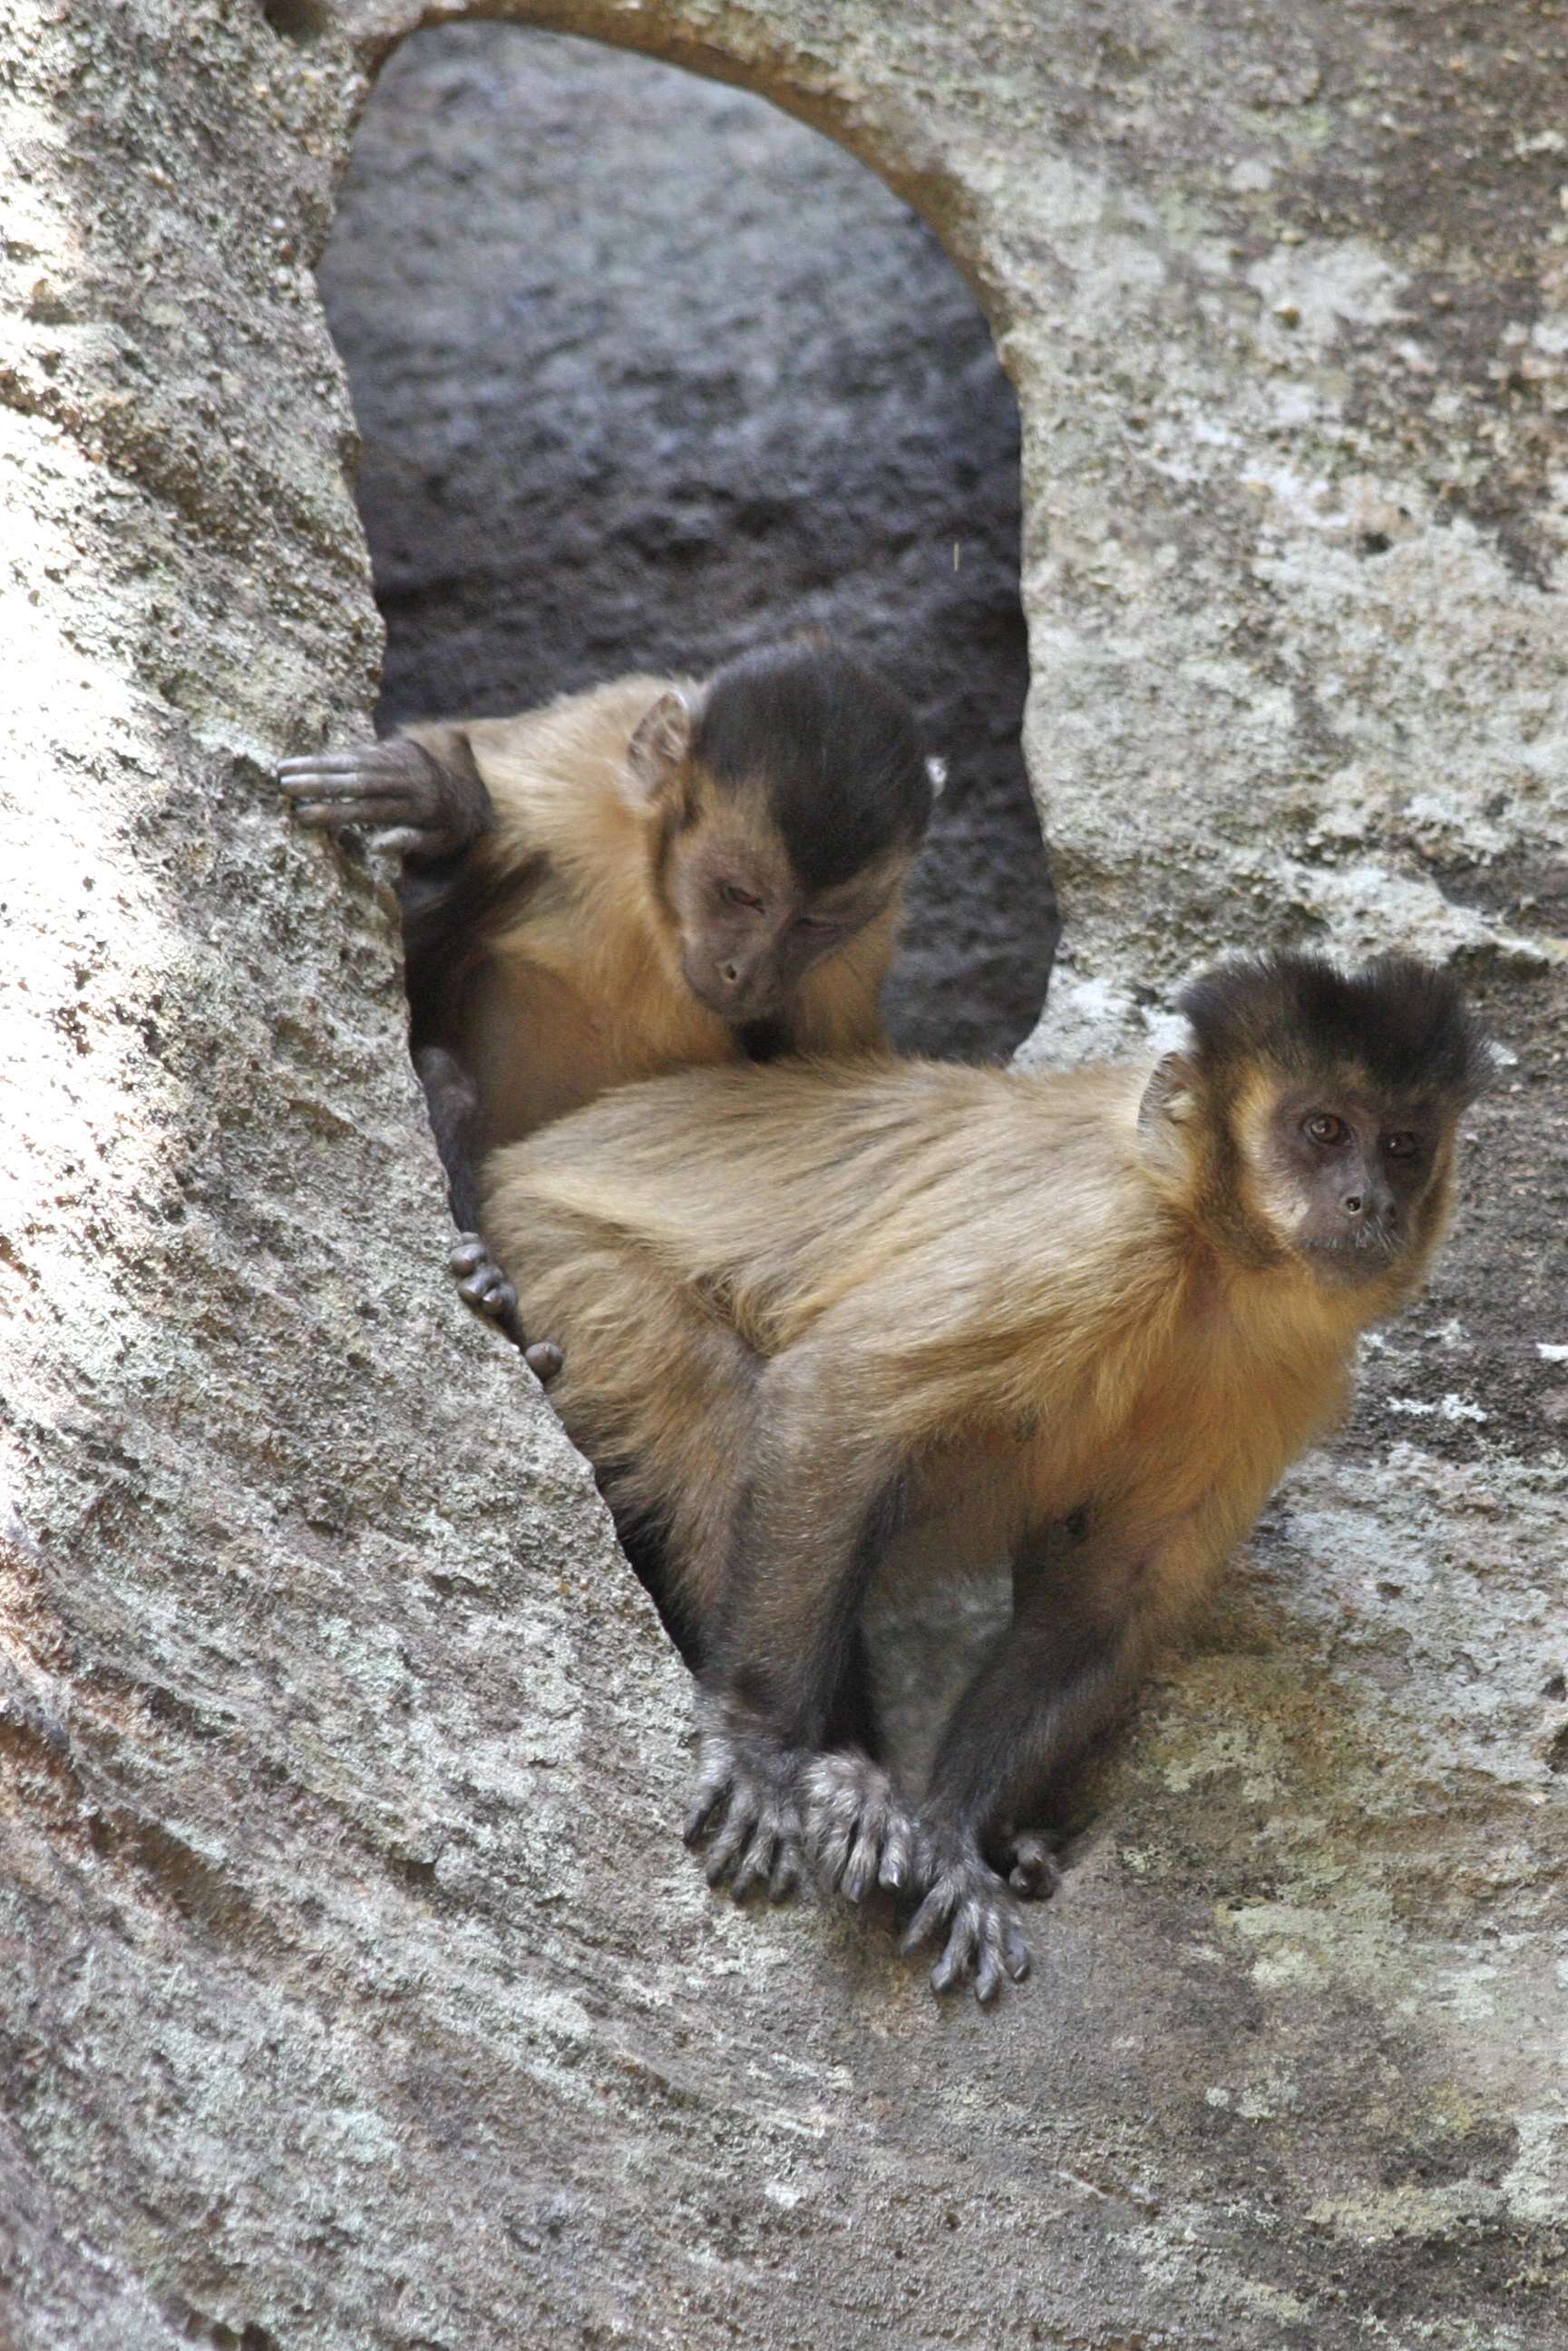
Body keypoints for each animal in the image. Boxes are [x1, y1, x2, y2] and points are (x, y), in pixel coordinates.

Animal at [280, 649, 940, 1363]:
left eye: (814, 924)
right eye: (741, 895)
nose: (749, 973)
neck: (660, 911)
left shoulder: (855, 952)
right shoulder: (579, 765)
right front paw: (441, 798)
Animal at [482, 954, 1495, 2003]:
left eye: (1403, 1146)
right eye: (1323, 1130)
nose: (1371, 1203)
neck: (1206, 1258)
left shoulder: (1282, 1376)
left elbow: (1104, 1597)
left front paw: (950, 1838)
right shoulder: (1092, 1241)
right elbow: (836, 1398)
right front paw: (761, 1746)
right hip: (560, 1256)